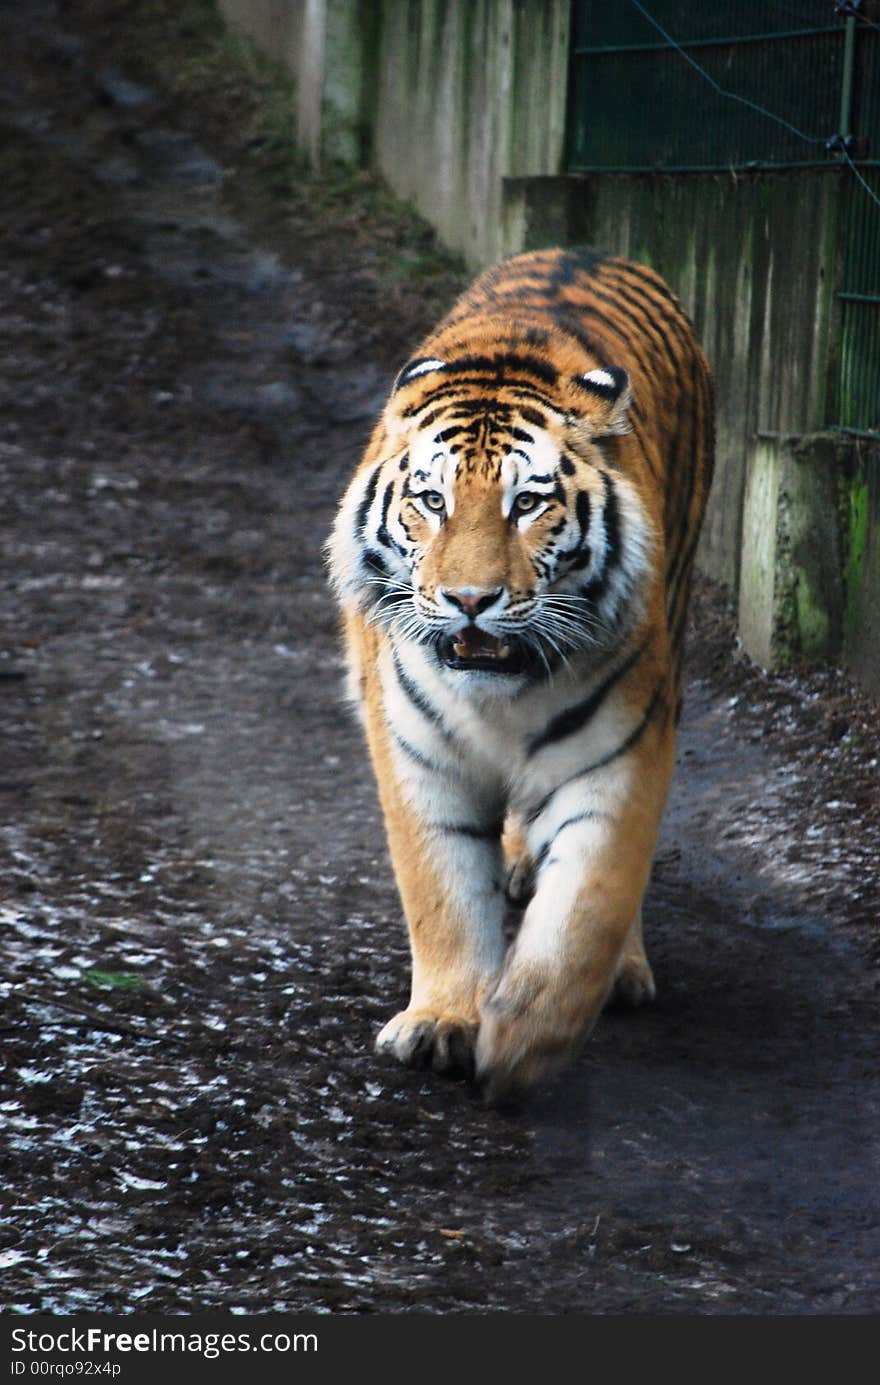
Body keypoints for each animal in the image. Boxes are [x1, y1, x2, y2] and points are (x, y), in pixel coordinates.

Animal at [327, 243, 715, 1096]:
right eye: (432, 501)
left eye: (529, 504)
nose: (471, 599)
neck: (500, 700)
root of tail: (586, 248)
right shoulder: (417, 755)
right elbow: (440, 891)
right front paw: (444, 1021)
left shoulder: (618, 754)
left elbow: (588, 905)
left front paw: (526, 1035)